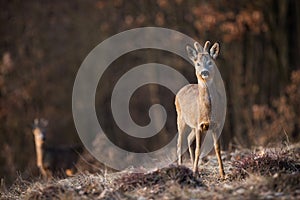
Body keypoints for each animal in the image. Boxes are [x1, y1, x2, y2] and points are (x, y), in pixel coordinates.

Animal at [176, 40, 225, 178]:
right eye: (197, 64)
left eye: (210, 62)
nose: (204, 72)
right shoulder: (199, 125)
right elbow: (198, 149)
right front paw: (195, 171)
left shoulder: (216, 125)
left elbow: (217, 148)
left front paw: (223, 174)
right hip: (180, 118)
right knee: (179, 142)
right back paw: (182, 166)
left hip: (193, 125)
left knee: (189, 138)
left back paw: (194, 166)